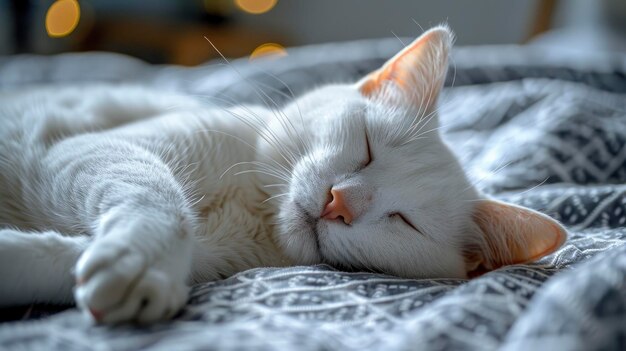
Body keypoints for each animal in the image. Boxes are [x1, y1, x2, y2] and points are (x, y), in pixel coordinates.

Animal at [0, 26, 564, 326]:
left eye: (405, 222)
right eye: (366, 149)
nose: (340, 201)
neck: (254, 210)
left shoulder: (206, 258)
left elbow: (55, 258)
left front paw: (137, 271)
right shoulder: (86, 150)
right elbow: (160, 199)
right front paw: (142, 258)